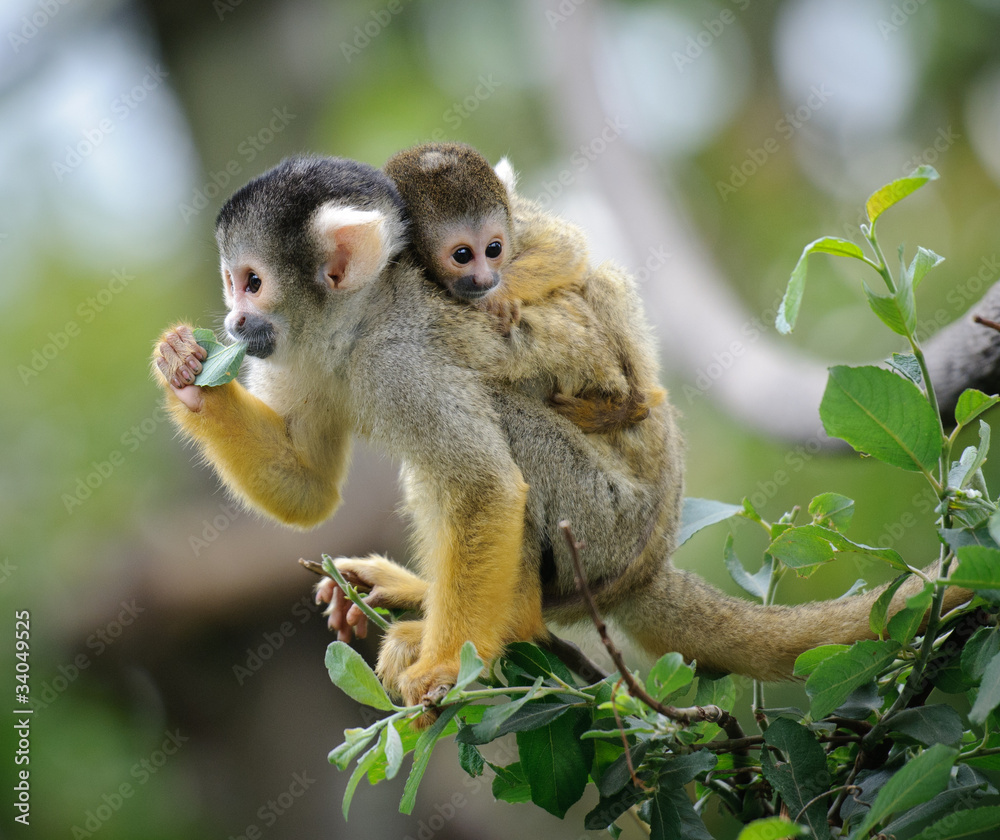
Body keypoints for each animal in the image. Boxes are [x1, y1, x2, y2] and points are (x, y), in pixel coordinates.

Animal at [382, 140, 664, 434]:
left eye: (494, 249)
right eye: (462, 255)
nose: (485, 280)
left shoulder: (517, 222)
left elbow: (567, 247)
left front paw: (499, 298)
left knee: (603, 282)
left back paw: (631, 407)